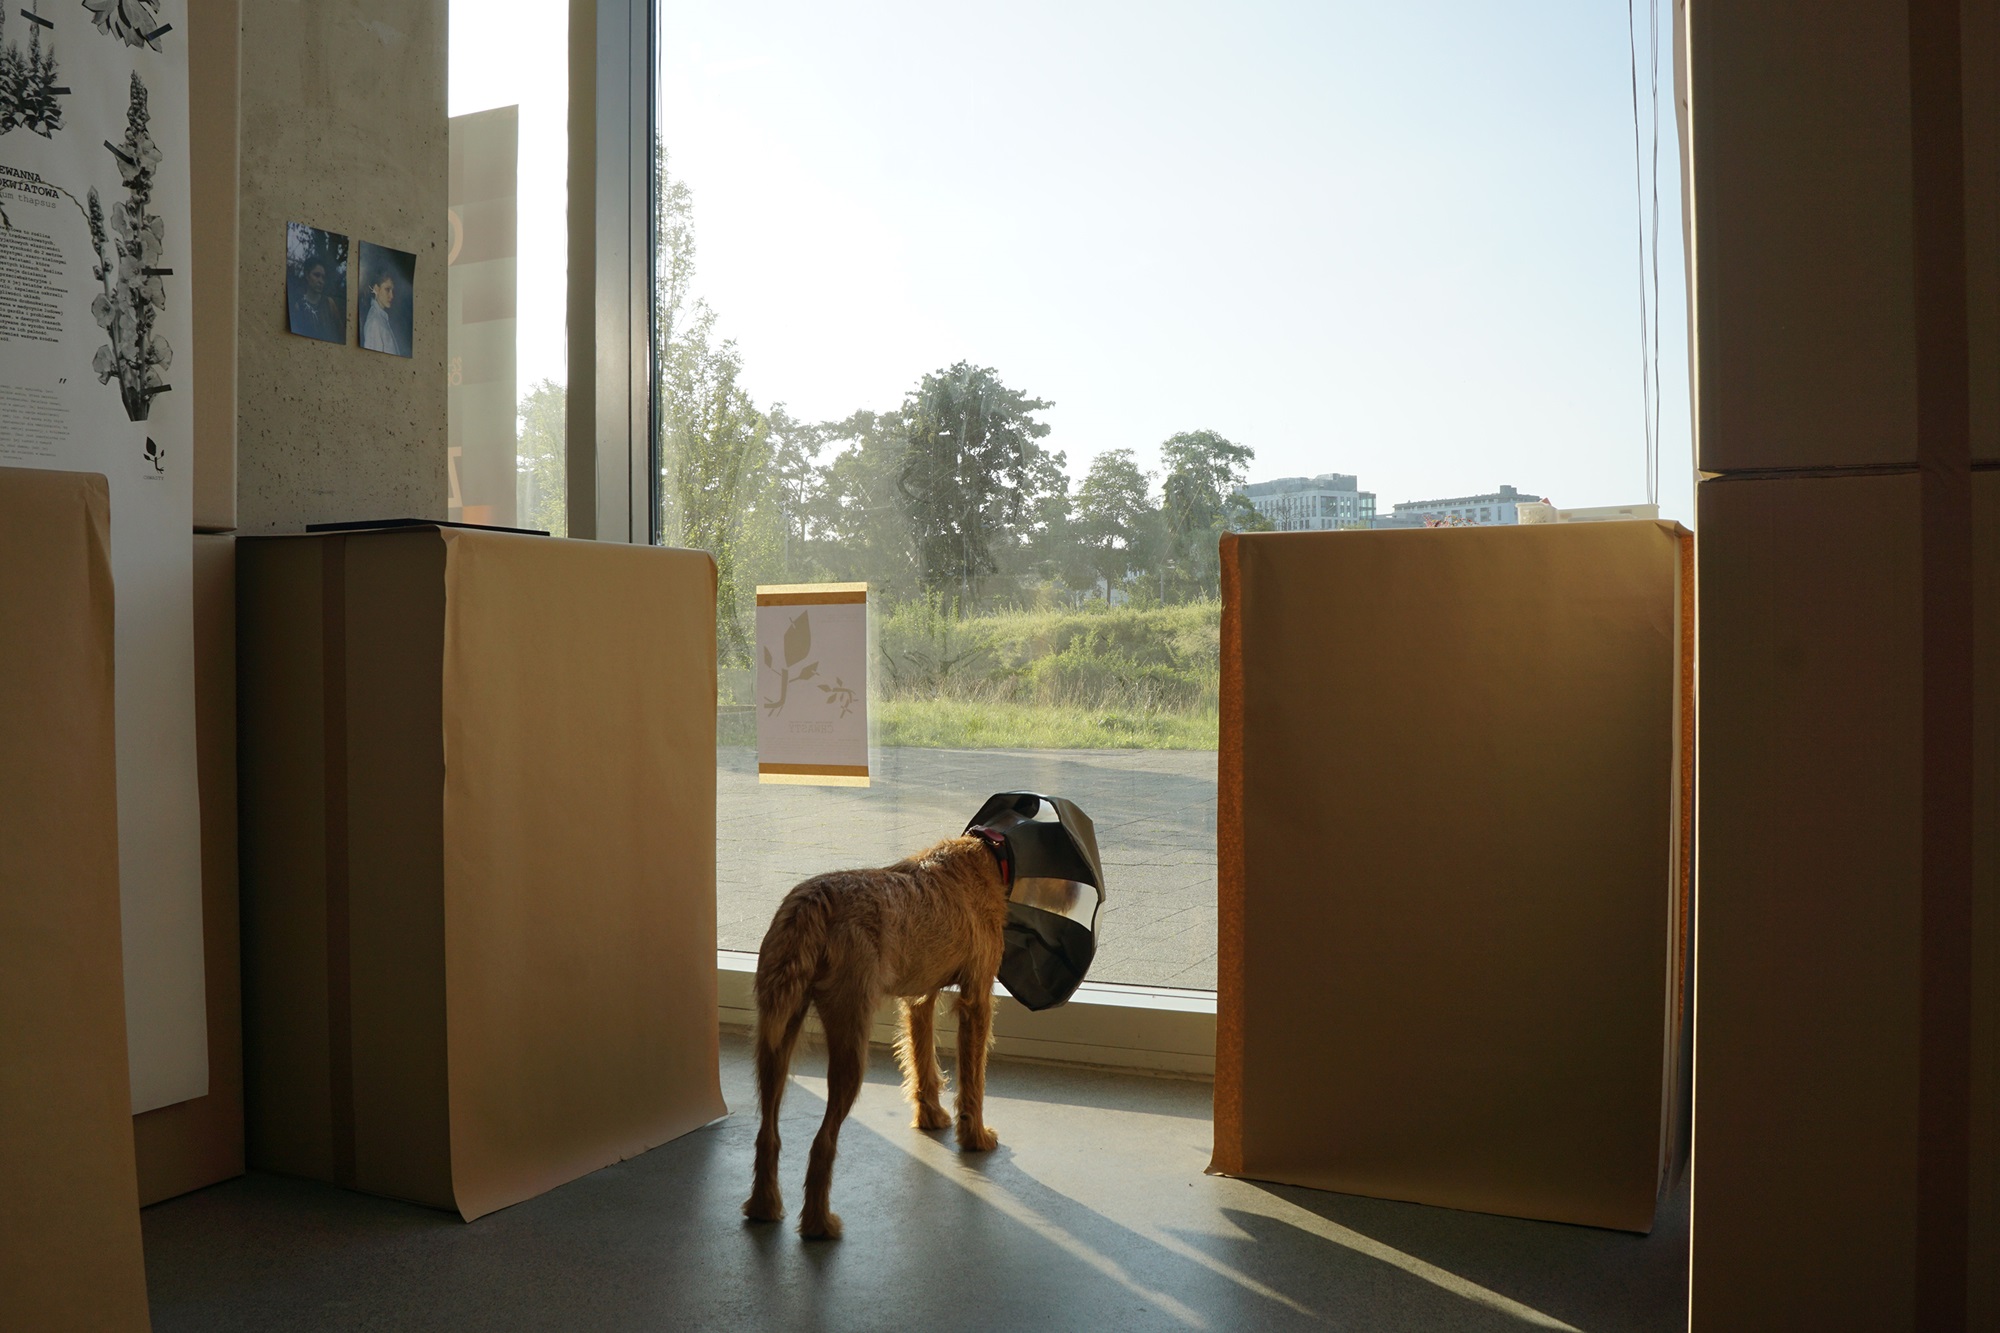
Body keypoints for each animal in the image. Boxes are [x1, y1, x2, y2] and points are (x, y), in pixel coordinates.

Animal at [744, 832, 1008, 1232]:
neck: (984, 852)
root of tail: (813, 901)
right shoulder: (976, 1000)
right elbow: (973, 1080)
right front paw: (974, 1136)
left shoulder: (919, 998)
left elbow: (922, 1061)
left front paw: (930, 1117)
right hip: (850, 1044)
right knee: (822, 1142)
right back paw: (820, 1225)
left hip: (776, 1036)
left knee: (767, 1134)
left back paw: (764, 1206)